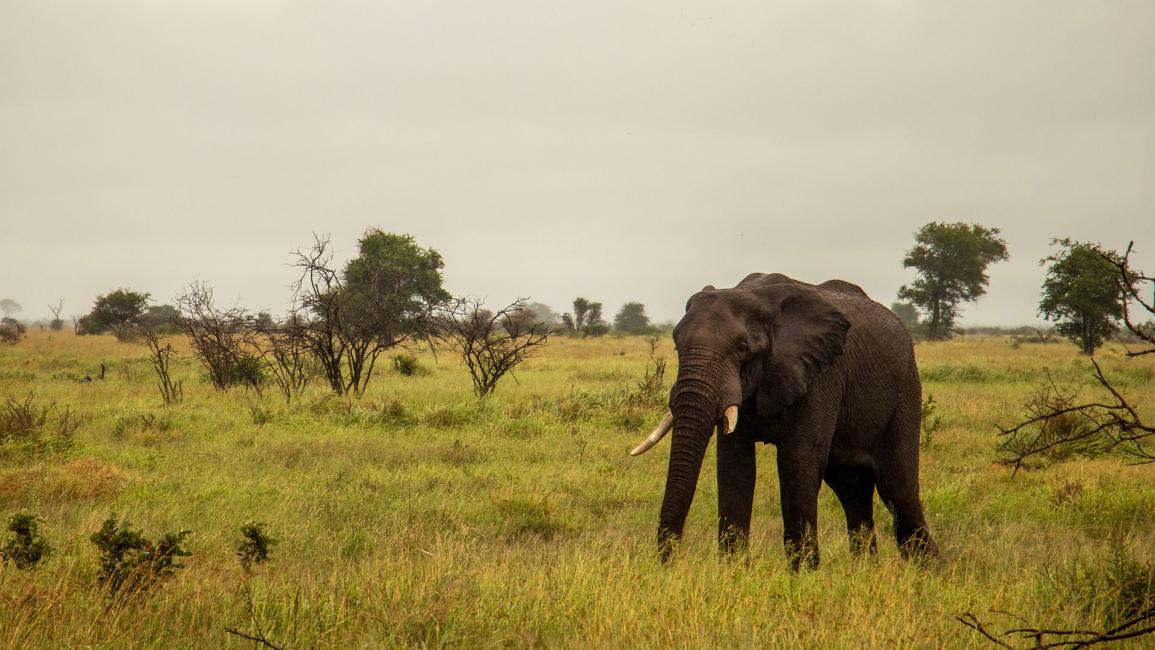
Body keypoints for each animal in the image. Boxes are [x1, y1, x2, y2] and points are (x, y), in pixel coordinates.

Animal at [632, 271, 937, 570]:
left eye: (742, 348)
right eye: (676, 346)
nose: (668, 564)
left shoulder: (820, 375)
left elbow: (797, 461)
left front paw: (803, 573)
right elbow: (734, 466)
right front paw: (734, 571)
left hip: (905, 391)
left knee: (898, 489)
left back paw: (929, 570)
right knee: (852, 489)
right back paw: (866, 570)